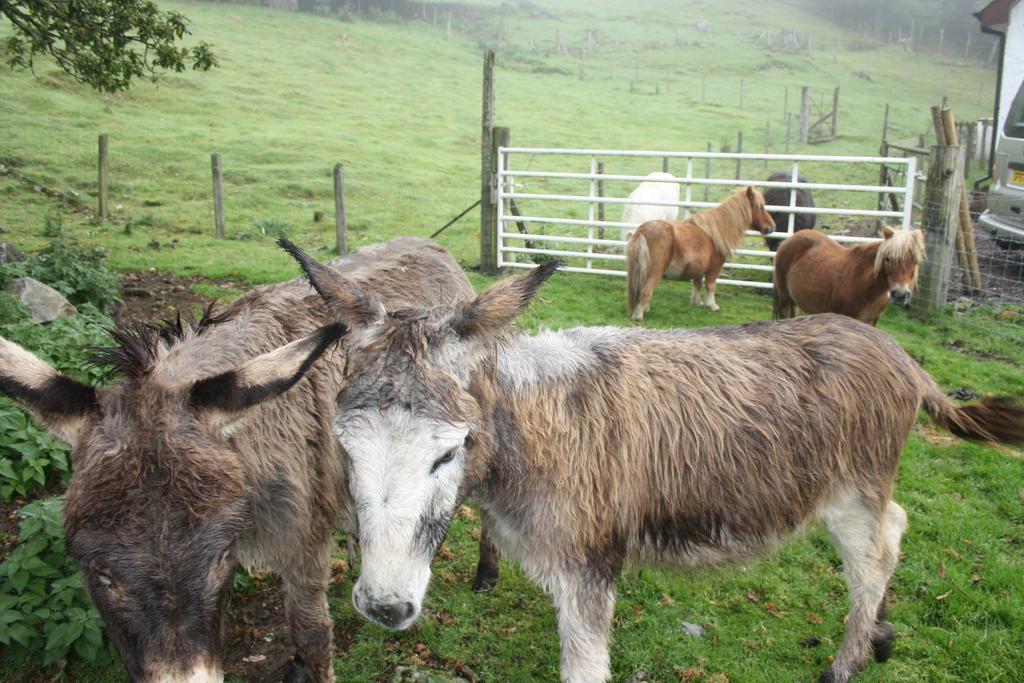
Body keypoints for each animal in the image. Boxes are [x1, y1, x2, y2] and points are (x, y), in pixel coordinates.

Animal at [274, 254, 1024, 683]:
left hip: (848, 492)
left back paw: (846, 662)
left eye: (446, 452)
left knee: (876, 554)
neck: (536, 437)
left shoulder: (588, 571)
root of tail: (897, 353)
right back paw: (881, 637)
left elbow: (584, 670)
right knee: (894, 531)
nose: (384, 606)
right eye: (346, 448)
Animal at [622, 187, 774, 321]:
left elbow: (697, 285)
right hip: (654, 273)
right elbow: (710, 286)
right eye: (760, 206)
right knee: (646, 291)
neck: (714, 233)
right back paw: (638, 315)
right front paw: (712, 305)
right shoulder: (714, 269)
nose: (772, 227)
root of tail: (642, 231)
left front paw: (697, 302)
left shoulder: (699, 270)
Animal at [770, 225, 925, 327]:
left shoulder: (872, 321)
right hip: (784, 298)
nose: (900, 294)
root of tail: (787, 240)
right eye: (888, 259)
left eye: (915, 261)